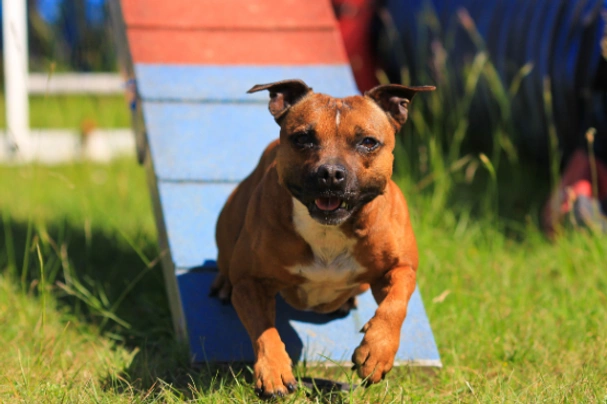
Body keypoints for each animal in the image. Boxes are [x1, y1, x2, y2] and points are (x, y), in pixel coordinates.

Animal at [211, 78, 434, 398]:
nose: (330, 173)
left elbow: (395, 306)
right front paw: (274, 370)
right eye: (303, 138)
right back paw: (223, 284)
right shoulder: (250, 281)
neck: (329, 231)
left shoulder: (400, 268)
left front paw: (376, 352)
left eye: (368, 142)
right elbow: (264, 329)